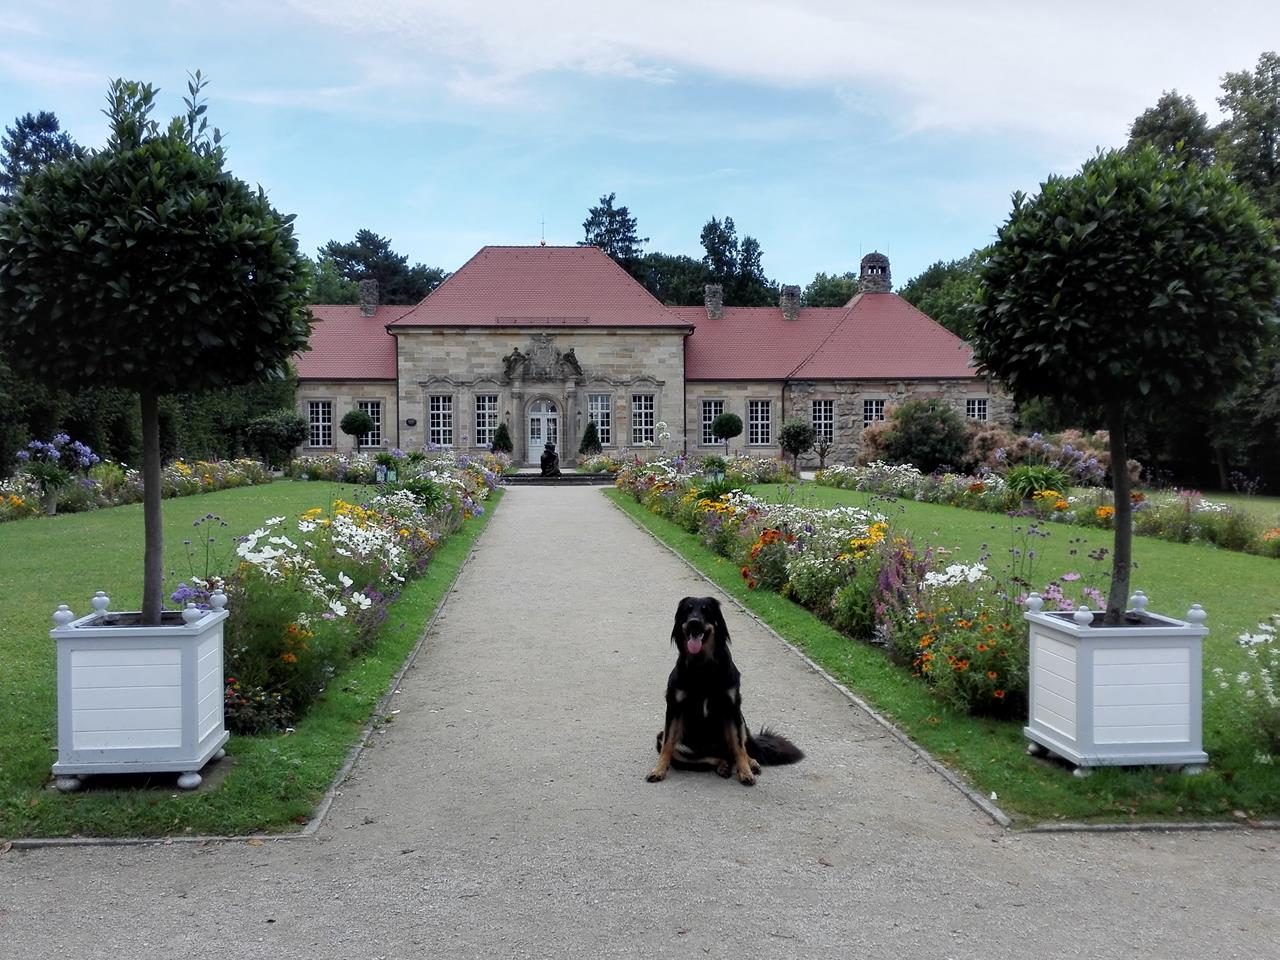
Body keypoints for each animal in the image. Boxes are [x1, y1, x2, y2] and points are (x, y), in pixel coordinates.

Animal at [650, 593, 798, 788]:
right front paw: (659, 770)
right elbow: (667, 746)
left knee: (738, 750)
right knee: (712, 758)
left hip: (740, 718)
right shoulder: (674, 707)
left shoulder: (731, 706)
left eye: (706, 611)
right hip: (670, 740)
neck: (703, 667)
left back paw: (750, 763)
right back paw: (723, 766)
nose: (694, 622)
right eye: (687, 610)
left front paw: (745, 772)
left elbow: (738, 747)